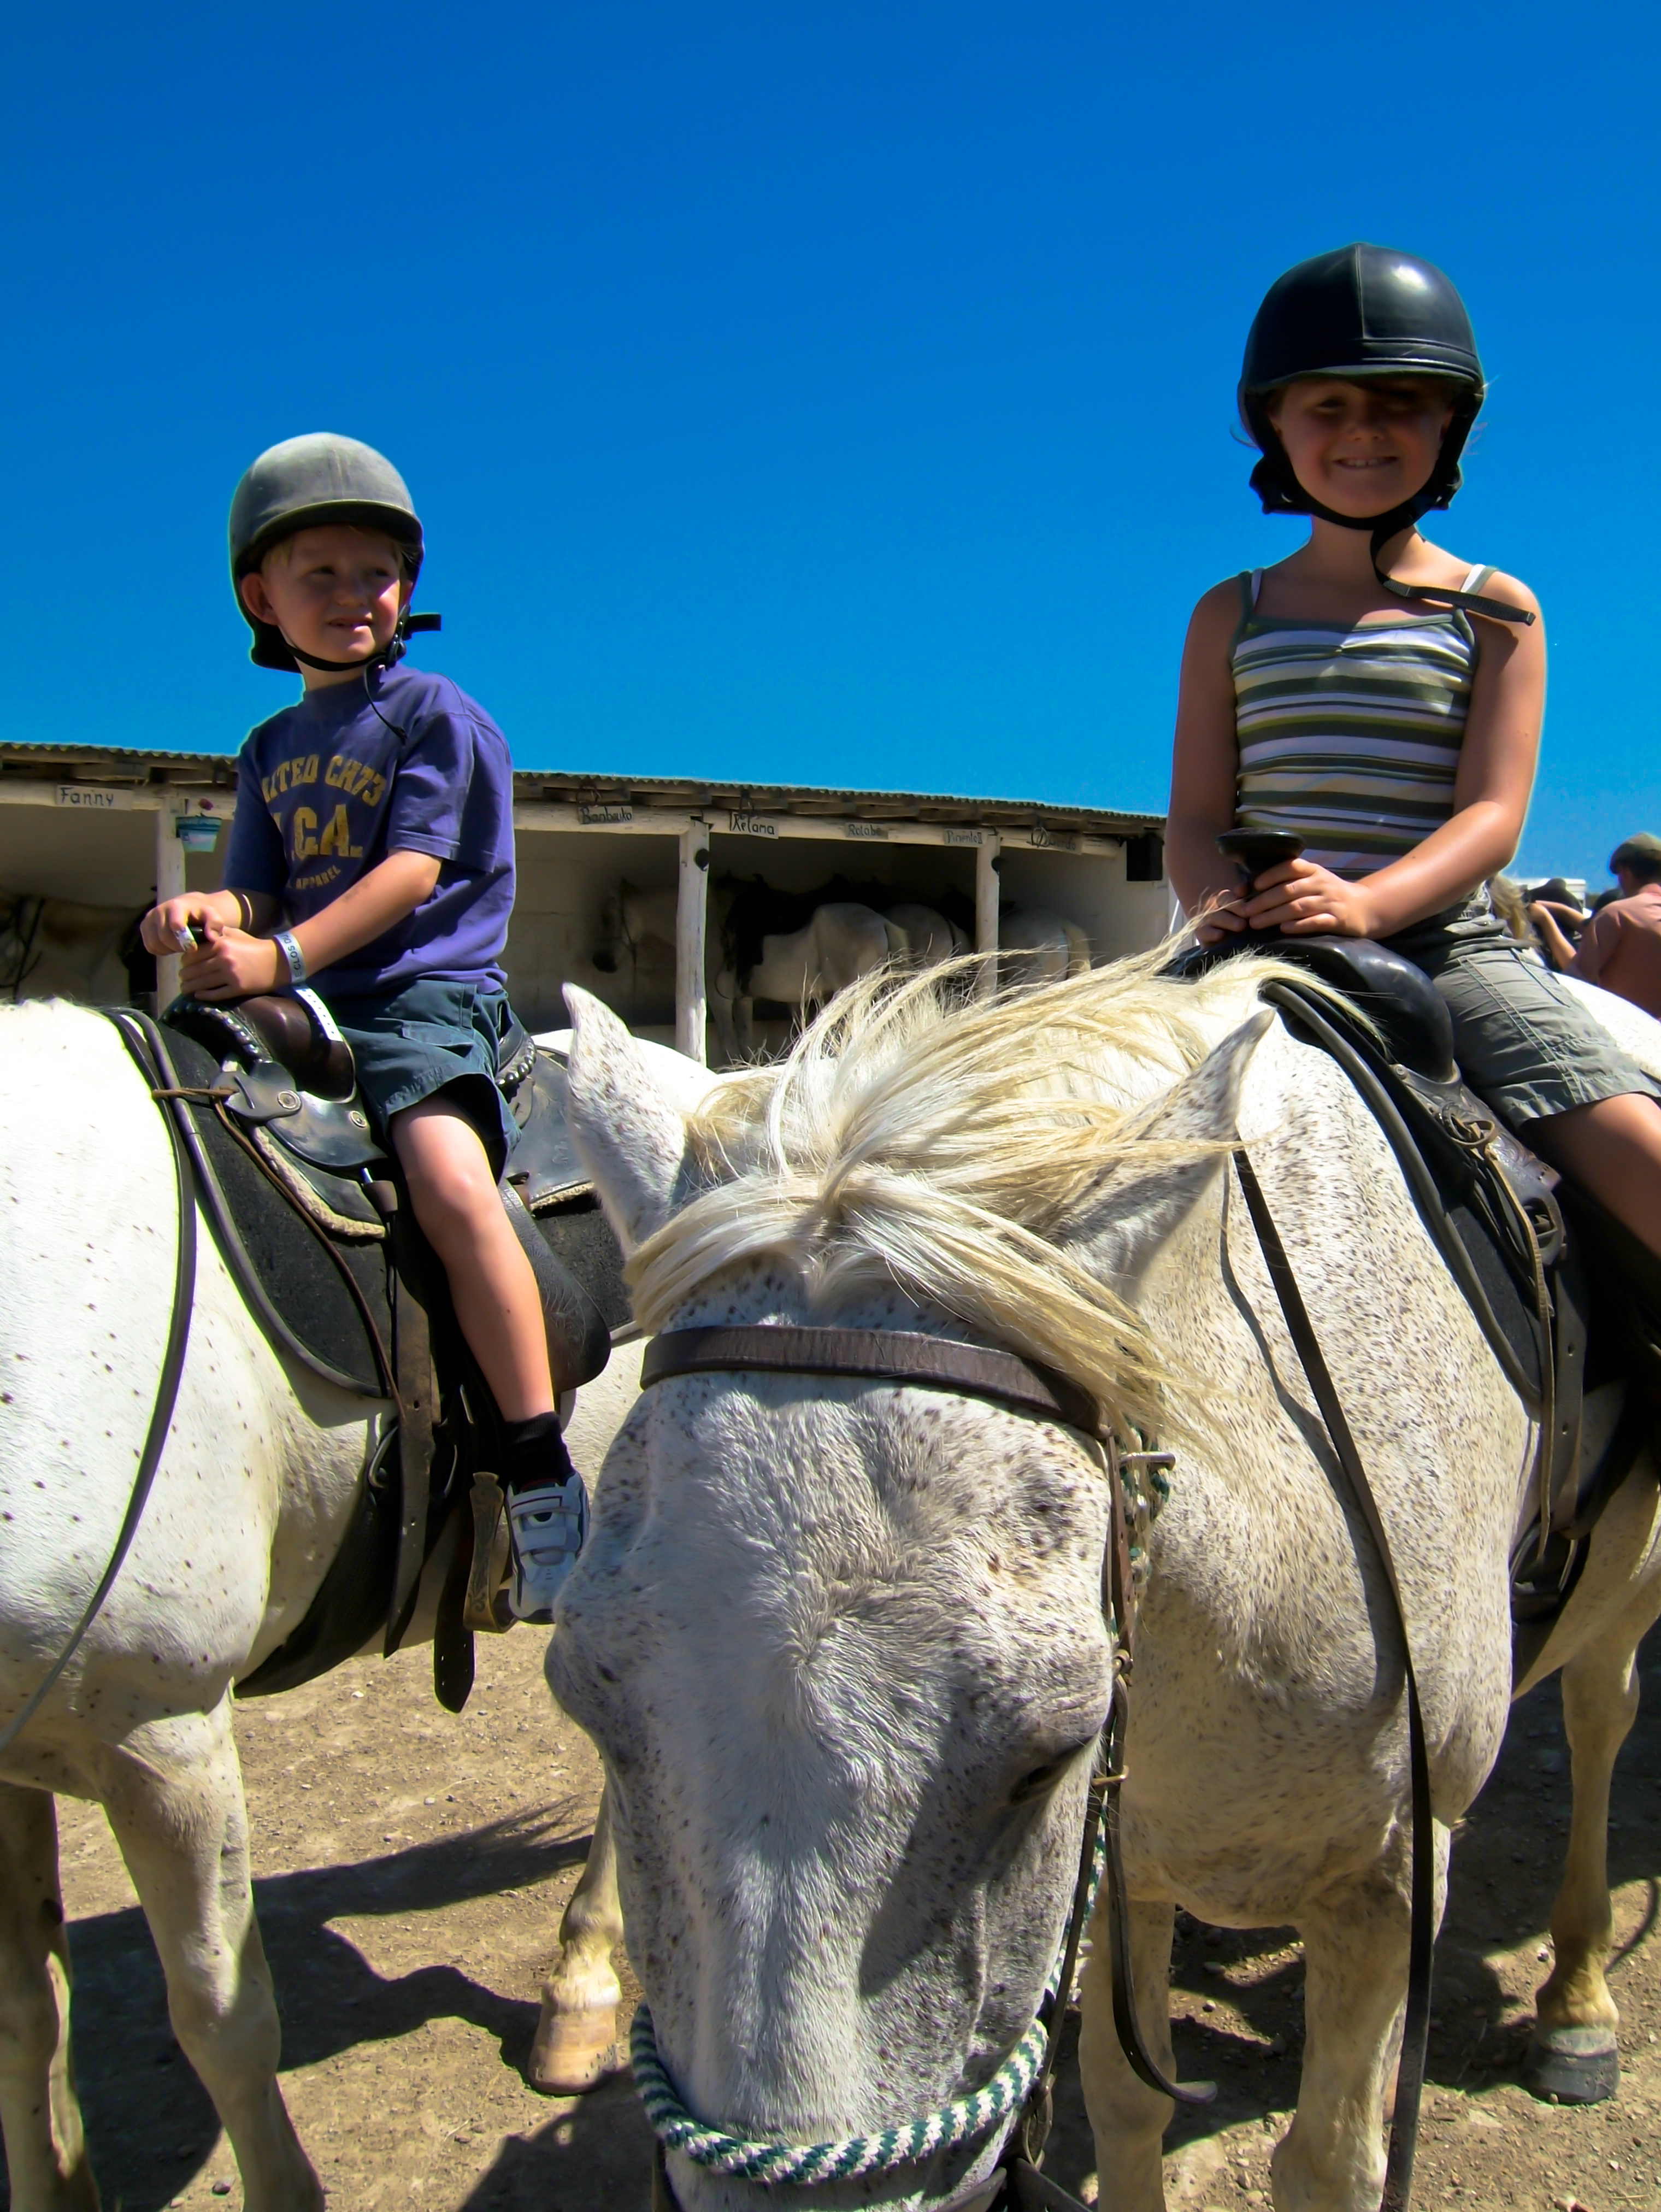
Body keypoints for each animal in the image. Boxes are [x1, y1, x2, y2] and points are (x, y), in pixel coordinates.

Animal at [548, 964, 1661, 2211]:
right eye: (586, 1700)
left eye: (1048, 1752)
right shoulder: (1121, 1872)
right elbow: (1127, 2099)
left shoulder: (1390, 1878)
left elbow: (1328, 2162)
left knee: (1600, 1714)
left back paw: (1575, 2002)